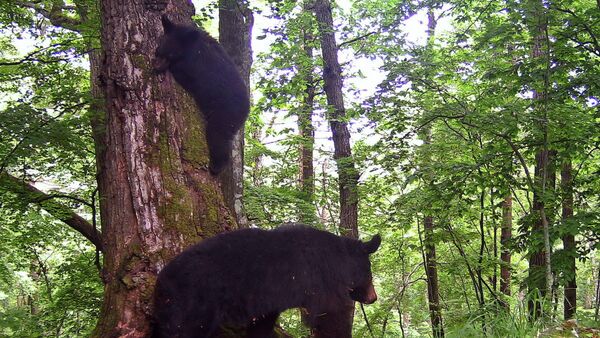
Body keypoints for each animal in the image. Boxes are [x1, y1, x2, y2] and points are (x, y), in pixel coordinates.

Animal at [155, 15, 251, 174]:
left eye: (170, 53)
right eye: (159, 48)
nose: (155, 64)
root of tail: (246, 110)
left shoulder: (194, 66)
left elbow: (182, 72)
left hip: (224, 115)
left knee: (218, 138)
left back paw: (216, 167)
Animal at [155, 223, 380, 336]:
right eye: (369, 271)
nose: (374, 297)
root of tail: (161, 281)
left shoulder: (268, 303)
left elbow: (262, 325)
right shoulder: (321, 284)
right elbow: (332, 315)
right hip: (194, 305)